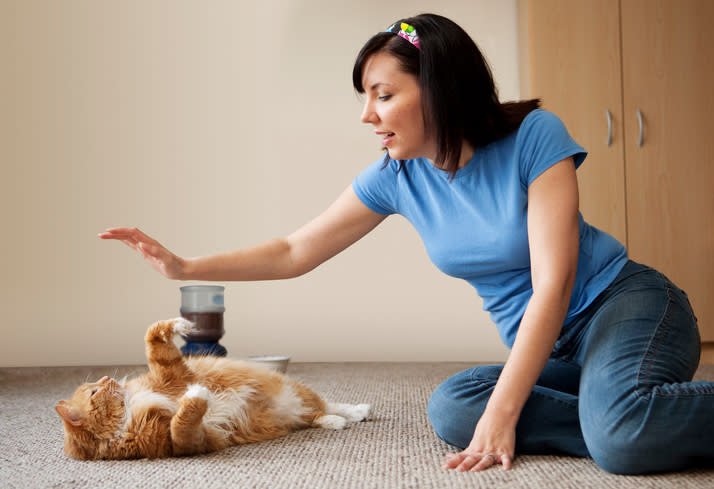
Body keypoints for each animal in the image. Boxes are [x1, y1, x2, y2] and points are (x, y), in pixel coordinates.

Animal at [55, 318, 370, 460]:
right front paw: (197, 396)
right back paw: (339, 421)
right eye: (94, 392)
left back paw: (359, 410)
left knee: (327, 404)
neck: (130, 408)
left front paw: (180, 325)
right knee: (317, 414)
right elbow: (182, 423)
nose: (108, 377)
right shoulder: (186, 442)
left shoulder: (171, 375)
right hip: (299, 408)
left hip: (299, 391)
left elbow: (154, 342)